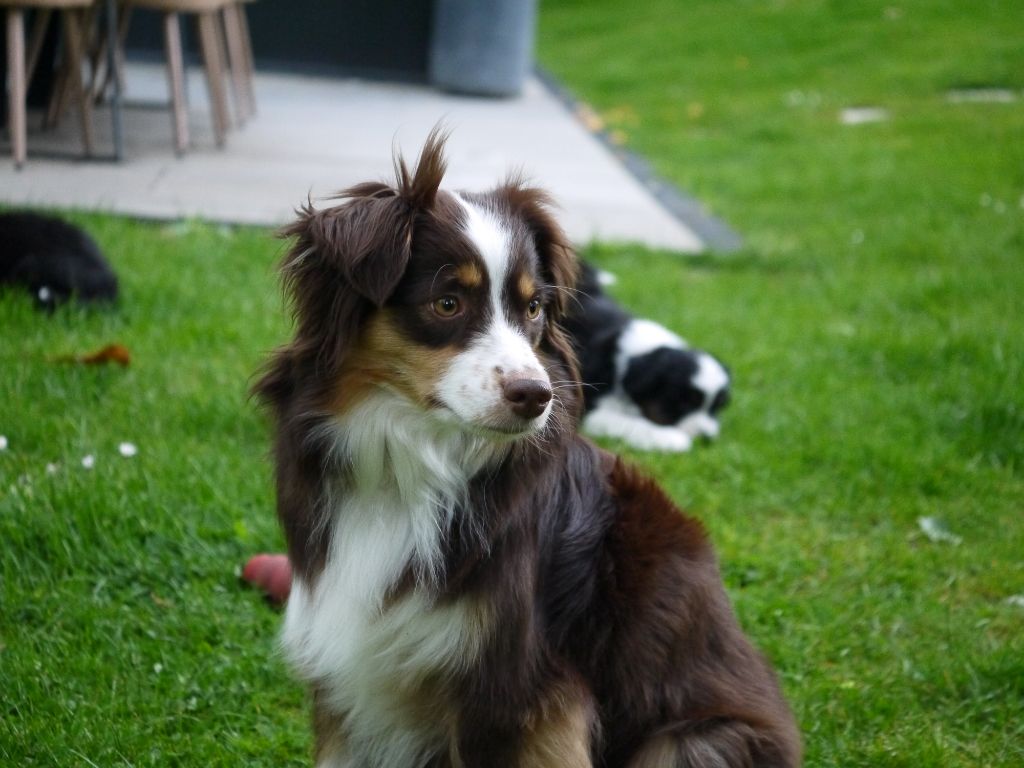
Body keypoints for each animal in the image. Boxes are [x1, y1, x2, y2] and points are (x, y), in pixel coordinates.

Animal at [565, 264, 733, 450]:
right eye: (685, 404)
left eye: (718, 406)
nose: (706, 438)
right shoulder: (588, 409)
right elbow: (631, 423)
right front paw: (672, 438)